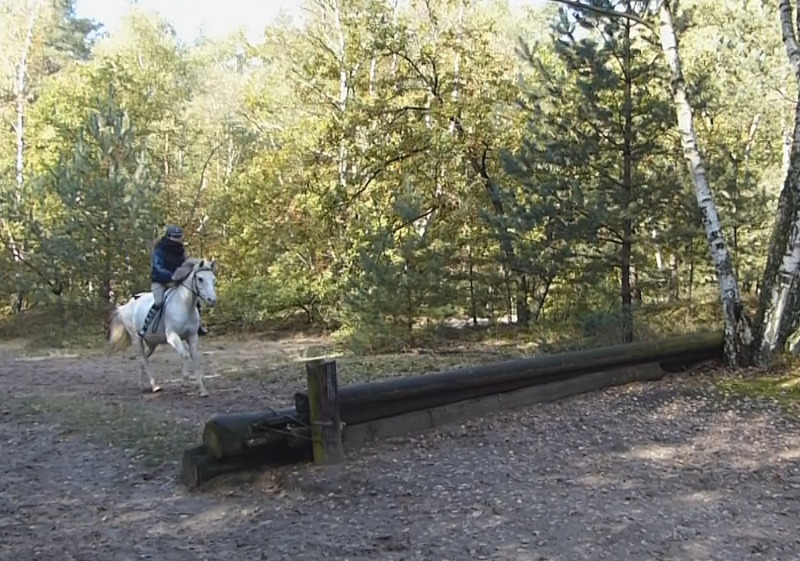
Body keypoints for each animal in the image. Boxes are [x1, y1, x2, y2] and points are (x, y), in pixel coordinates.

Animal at [107, 257, 217, 397]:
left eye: (213, 279)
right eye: (200, 279)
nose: (212, 300)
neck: (184, 305)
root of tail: (126, 306)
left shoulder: (192, 336)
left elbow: (195, 358)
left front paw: (202, 390)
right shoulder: (172, 336)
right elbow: (185, 355)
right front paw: (185, 382)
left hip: (152, 344)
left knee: (142, 359)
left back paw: (142, 384)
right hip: (137, 339)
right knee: (143, 359)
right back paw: (155, 386)